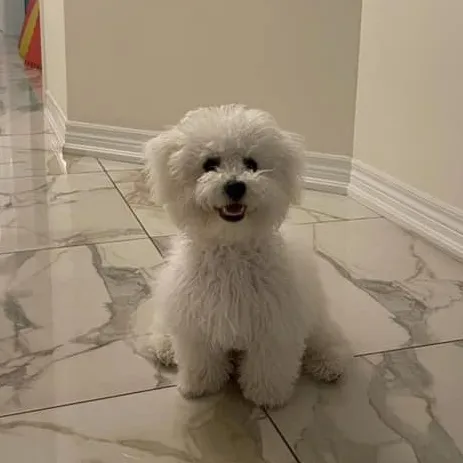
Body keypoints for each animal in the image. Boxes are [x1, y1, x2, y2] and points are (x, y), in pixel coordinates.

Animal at [145, 104, 347, 408]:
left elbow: (268, 366)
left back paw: (329, 362)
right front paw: (200, 385)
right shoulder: (197, 321)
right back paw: (165, 347)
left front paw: (266, 396)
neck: (232, 248)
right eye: (209, 164)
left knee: (323, 337)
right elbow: (200, 358)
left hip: (314, 314)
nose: (235, 186)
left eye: (251, 164)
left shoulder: (276, 325)